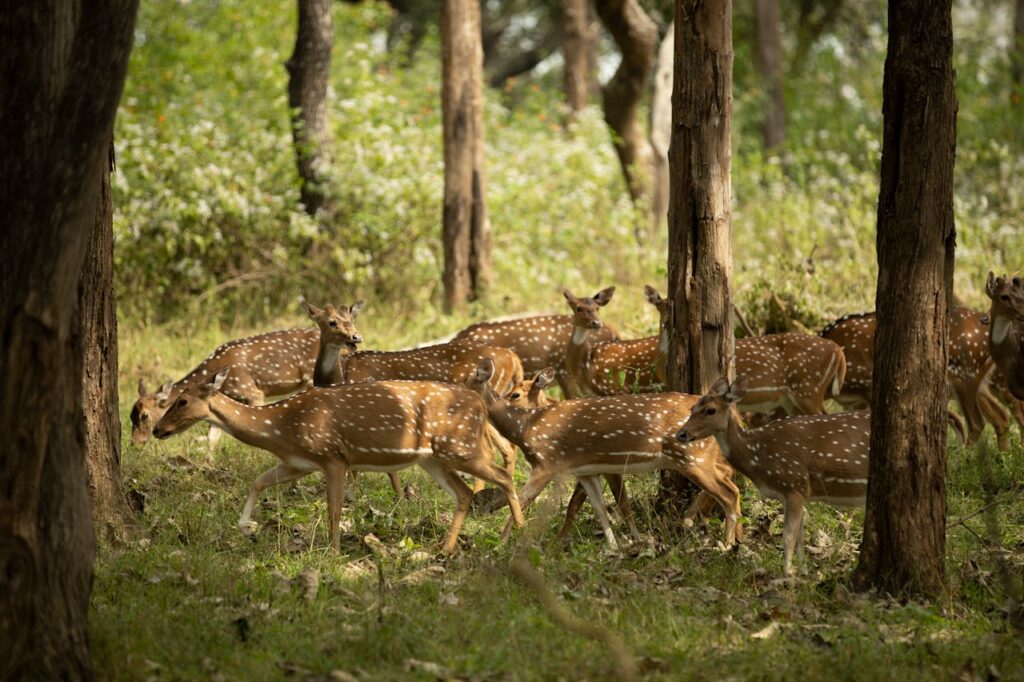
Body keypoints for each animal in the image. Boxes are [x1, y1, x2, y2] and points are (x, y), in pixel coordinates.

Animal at [151, 368, 525, 553]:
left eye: (182, 401)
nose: (157, 429)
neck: (281, 428)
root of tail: (479, 403)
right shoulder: (297, 462)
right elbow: (258, 481)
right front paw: (246, 526)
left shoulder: (333, 456)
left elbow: (333, 509)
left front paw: (331, 553)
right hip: (432, 458)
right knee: (464, 492)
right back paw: (445, 549)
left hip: (460, 445)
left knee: (503, 476)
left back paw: (517, 533)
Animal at [470, 359, 741, 550]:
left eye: (515, 394)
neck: (525, 426)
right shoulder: (585, 470)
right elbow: (599, 507)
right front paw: (614, 546)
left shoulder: (546, 463)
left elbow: (521, 499)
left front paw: (502, 542)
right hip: (704, 458)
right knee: (733, 486)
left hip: (693, 458)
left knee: (728, 494)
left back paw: (726, 546)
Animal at [645, 285, 846, 416]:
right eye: (658, 305)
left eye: (674, 307)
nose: (666, 322)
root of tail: (838, 351)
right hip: (793, 398)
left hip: (808, 389)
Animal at [676, 376, 871, 576]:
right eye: (693, 408)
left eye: (710, 410)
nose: (681, 434)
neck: (759, 457)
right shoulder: (794, 494)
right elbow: (800, 536)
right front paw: (803, 572)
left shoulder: (795, 485)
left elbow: (789, 536)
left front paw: (787, 573)